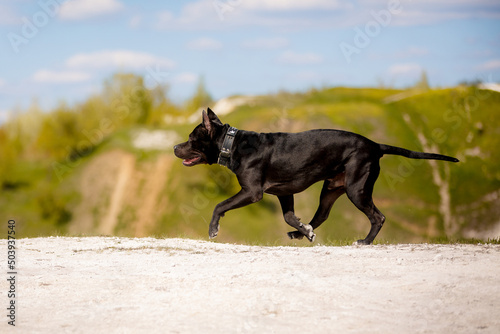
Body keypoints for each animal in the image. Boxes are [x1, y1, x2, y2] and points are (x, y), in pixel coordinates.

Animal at [174, 108, 458, 244]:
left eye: (191, 138)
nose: (175, 147)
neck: (232, 144)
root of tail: (374, 144)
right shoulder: (284, 192)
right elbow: (290, 217)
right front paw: (303, 230)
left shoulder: (252, 192)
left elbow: (219, 205)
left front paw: (213, 230)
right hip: (331, 188)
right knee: (321, 215)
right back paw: (301, 234)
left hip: (357, 188)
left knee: (378, 217)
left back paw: (365, 242)